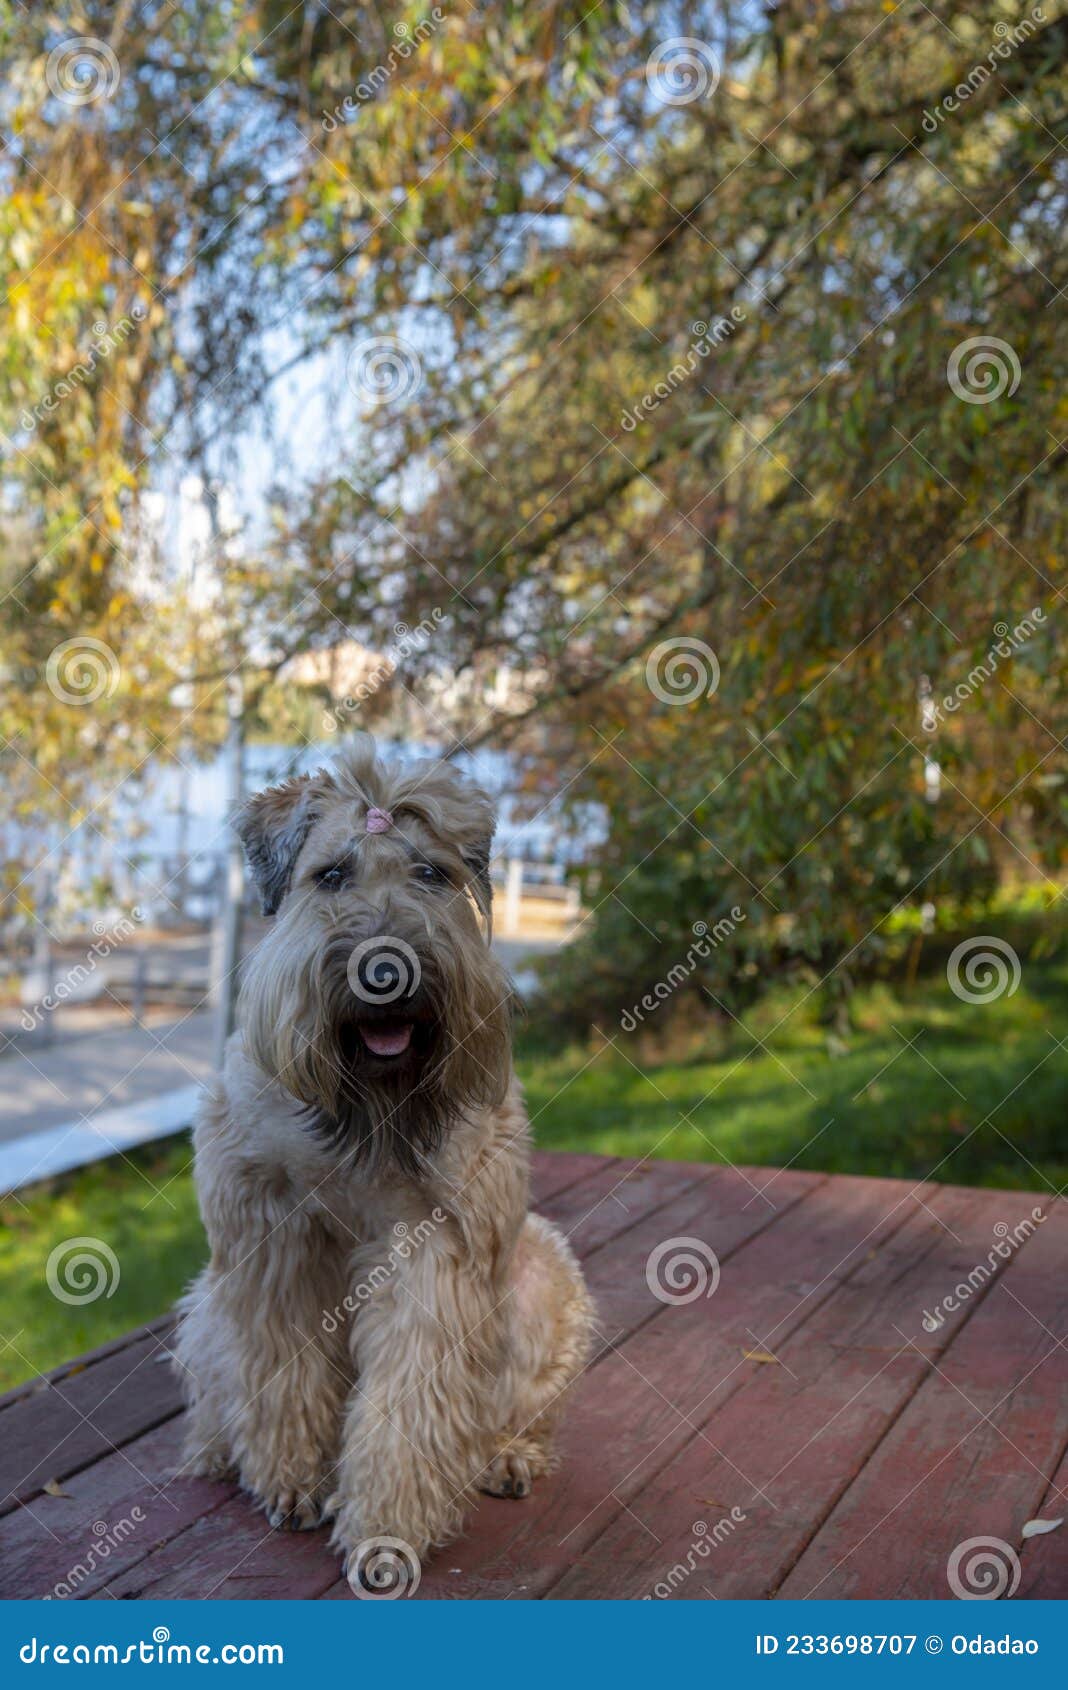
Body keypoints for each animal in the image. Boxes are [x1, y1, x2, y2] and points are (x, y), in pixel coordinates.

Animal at [174, 733, 591, 1575]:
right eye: (331, 874)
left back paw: (507, 1454)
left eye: (431, 873)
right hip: (209, 1300)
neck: (364, 1107)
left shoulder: (433, 1246)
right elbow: (282, 1370)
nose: (387, 969)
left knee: (514, 1407)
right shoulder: (272, 1237)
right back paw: (215, 1448)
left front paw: (384, 1526)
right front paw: (292, 1479)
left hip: (543, 1274)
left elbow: (409, 1400)